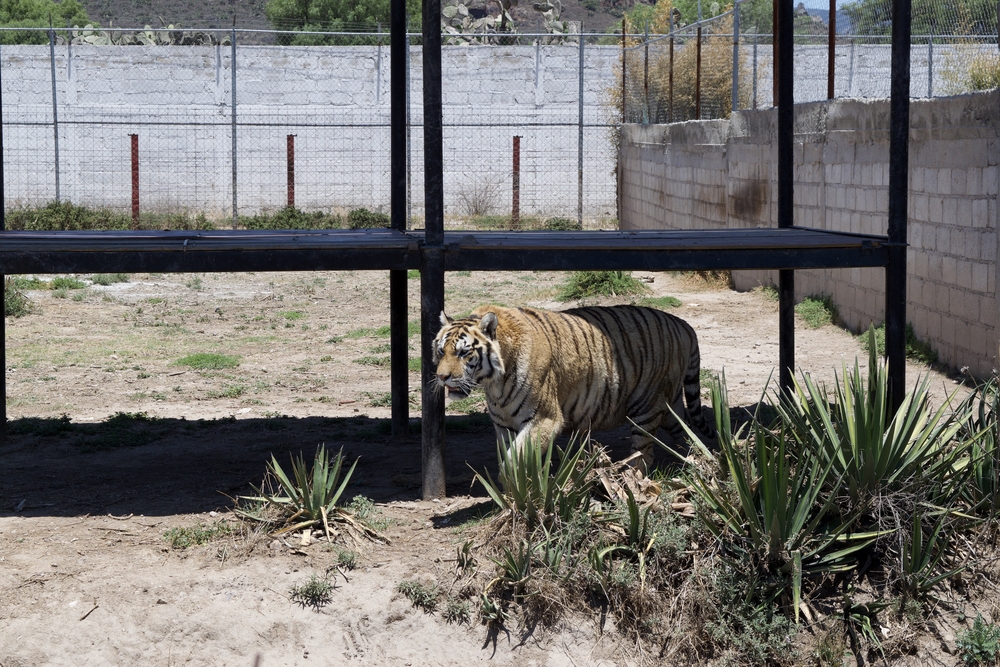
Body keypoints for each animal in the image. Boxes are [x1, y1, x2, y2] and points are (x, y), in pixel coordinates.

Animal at [434, 304, 716, 470]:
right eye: (440, 351)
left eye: (464, 353)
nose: (442, 377)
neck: (494, 383)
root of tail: (683, 324)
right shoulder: (504, 426)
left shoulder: (544, 419)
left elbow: (516, 459)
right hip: (668, 406)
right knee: (685, 432)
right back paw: (692, 463)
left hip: (646, 407)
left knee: (644, 454)